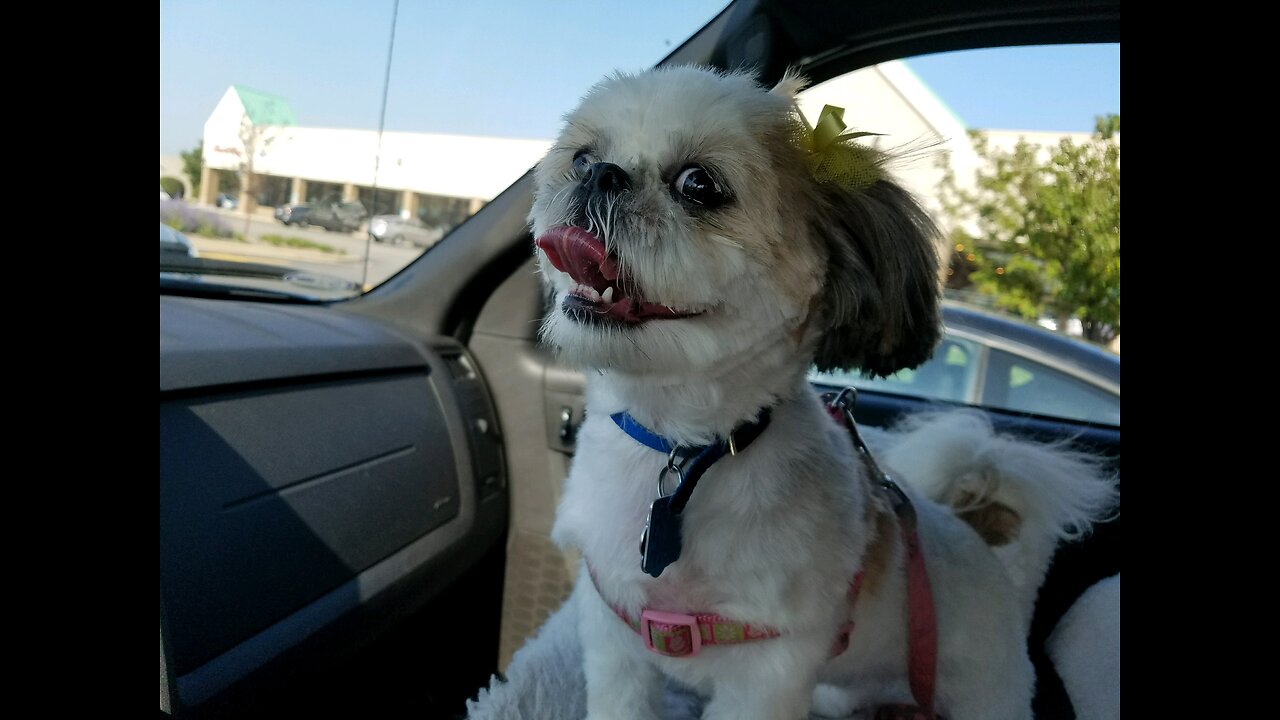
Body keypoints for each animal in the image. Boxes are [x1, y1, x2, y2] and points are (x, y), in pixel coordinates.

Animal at [524, 64, 1116, 712]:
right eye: (581, 158)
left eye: (699, 184)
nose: (601, 174)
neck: (679, 449)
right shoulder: (614, 633)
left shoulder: (764, 672)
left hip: (986, 692)